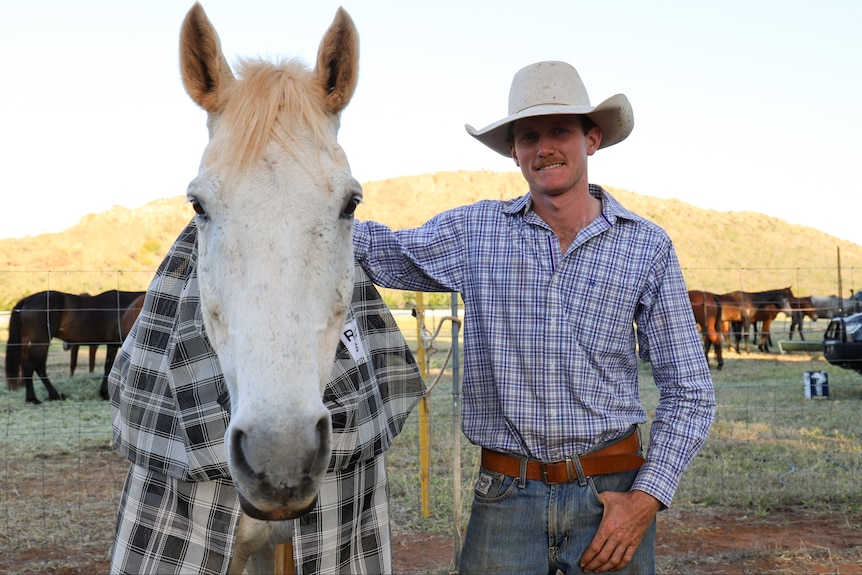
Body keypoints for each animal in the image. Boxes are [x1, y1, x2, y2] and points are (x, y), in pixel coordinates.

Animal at [4, 288, 145, 404]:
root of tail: (27, 300)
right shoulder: (116, 344)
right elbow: (111, 367)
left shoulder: (112, 344)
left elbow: (108, 367)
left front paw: (104, 393)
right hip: (41, 341)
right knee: (30, 365)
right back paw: (32, 398)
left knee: (39, 367)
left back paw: (54, 395)